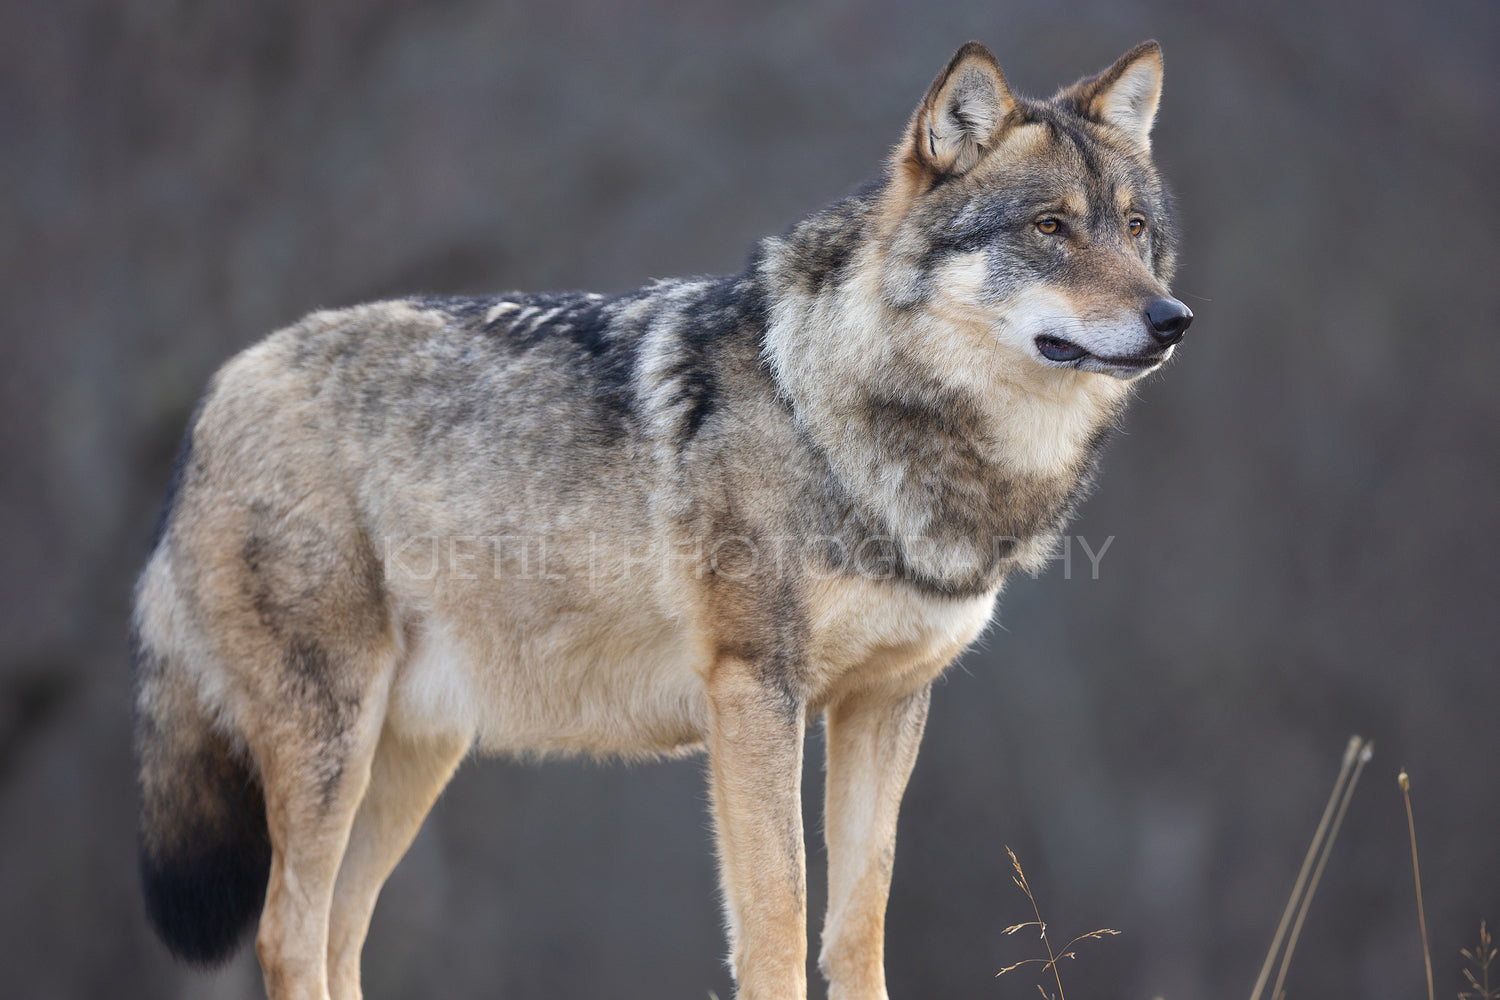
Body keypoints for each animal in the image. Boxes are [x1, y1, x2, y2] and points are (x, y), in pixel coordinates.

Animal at [135, 41, 1188, 1000]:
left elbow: (857, 929)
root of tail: (222, 390)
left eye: (1135, 228)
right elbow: (778, 923)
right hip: (334, 745)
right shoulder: (754, 693)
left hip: (412, 759)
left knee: (339, 940)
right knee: (286, 936)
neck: (834, 409)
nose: (1172, 319)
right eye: (1052, 226)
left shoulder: (885, 704)